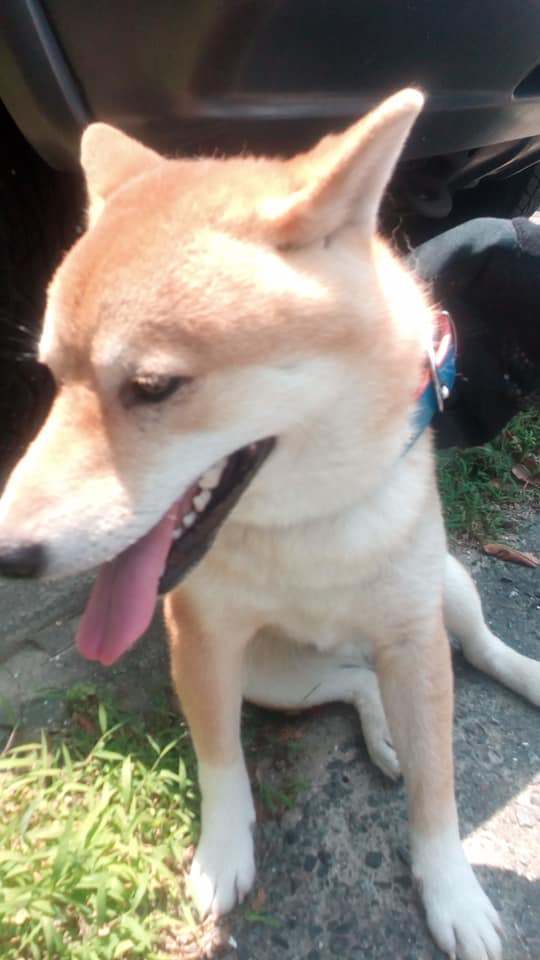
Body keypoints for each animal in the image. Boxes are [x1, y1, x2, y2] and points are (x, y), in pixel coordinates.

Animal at [0, 89, 538, 960]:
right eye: (52, 377)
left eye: (153, 386)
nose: (9, 555)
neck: (304, 523)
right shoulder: (205, 640)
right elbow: (221, 760)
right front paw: (225, 855)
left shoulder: (413, 639)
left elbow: (439, 791)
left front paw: (453, 891)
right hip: (274, 674)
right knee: (354, 683)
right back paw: (382, 729)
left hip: (446, 588)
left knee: (478, 648)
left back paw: (519, 678)